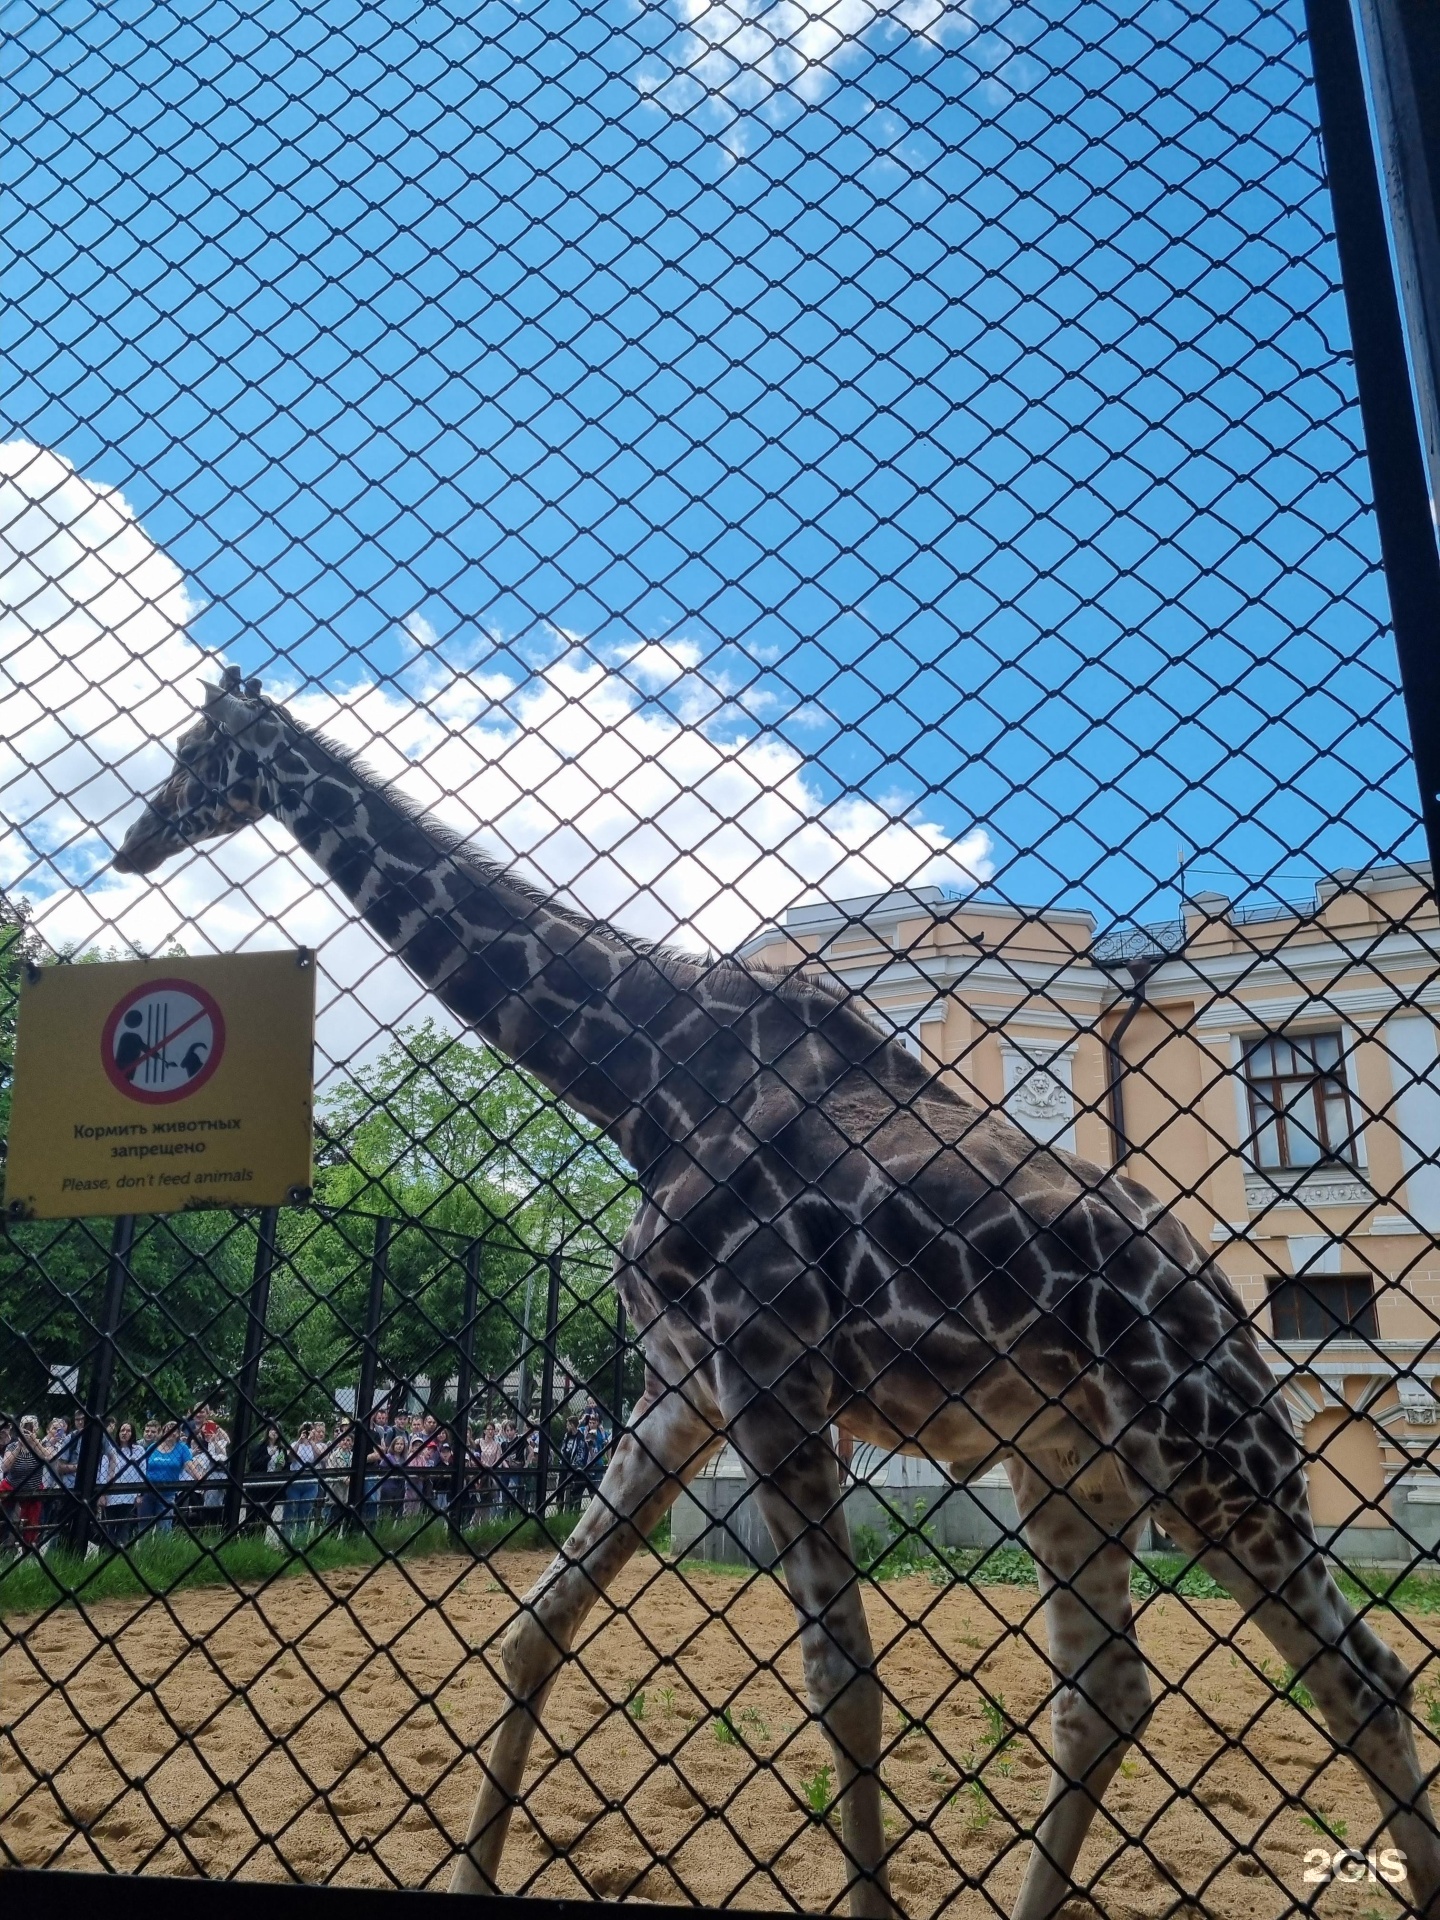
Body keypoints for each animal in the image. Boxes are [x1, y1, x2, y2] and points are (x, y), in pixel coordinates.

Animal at [115, 668, 1440, 1912]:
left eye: (197, 752)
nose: (133, 841)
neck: (642, 1073)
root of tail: (1229, 1318)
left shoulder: (768, 1371)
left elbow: (842, 1683)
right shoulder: (680, 1386)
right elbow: (536, 1627)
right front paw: (471, 1876)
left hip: (1207, 1456)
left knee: (1367, 1681)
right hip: (1073, 1463)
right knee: (1106, 1691)